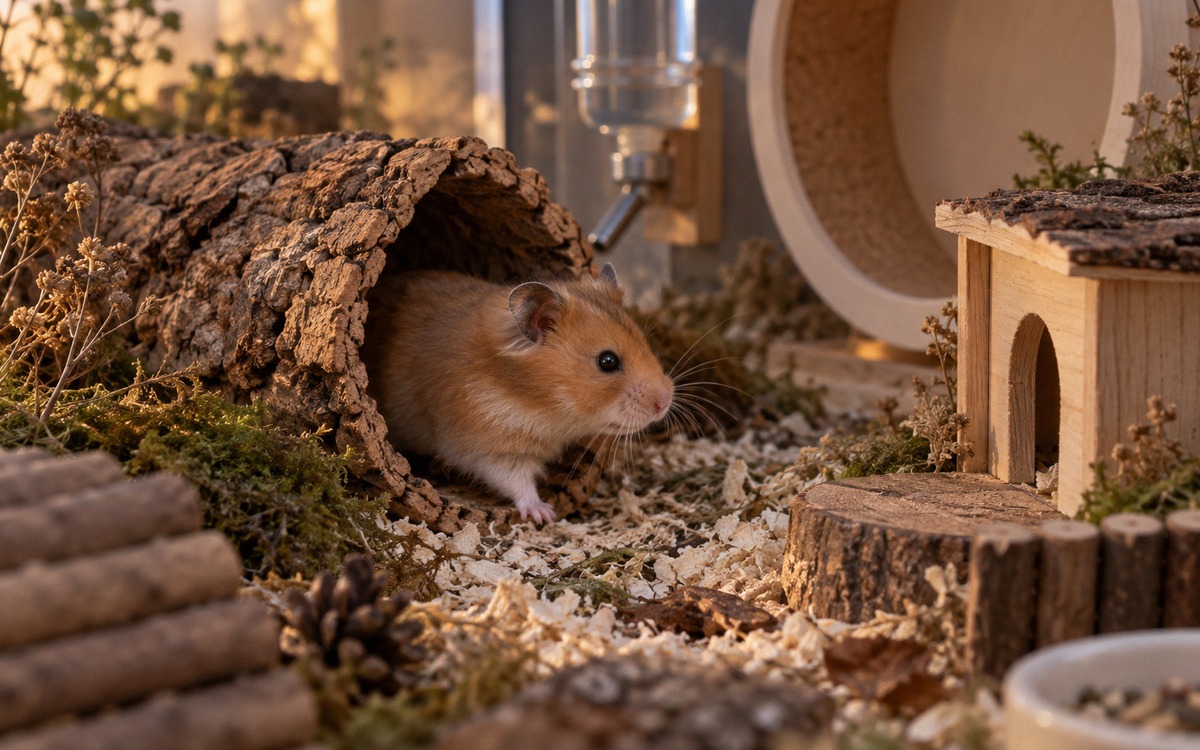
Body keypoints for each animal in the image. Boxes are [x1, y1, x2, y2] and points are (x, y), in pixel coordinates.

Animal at [362, 263, 674, 523]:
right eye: (607, 361)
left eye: (644, 341)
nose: (665, 402)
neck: (533, 399)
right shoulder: (489, 445)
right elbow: (517, 480)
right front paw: (544, 513)